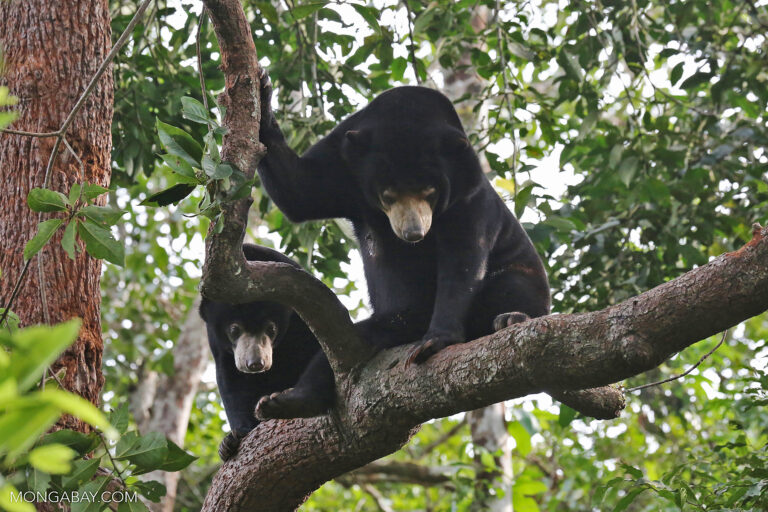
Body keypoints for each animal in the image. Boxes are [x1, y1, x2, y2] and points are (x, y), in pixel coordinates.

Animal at [255, 73, 548, 412]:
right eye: (388, 195)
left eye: (430, 191)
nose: (413, 233)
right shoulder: (343, 166)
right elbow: (301, 192)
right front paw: (262, 94)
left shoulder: (470, 198)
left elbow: (462, 261)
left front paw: (435, 340)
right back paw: (287, 400)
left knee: (513, 284)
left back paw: (512, 317)